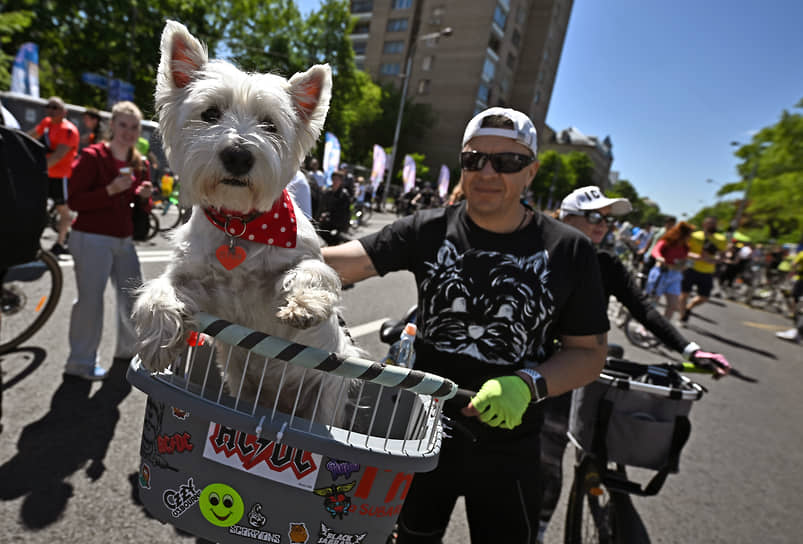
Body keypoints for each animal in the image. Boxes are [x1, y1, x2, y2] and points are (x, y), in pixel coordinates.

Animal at [133, 20, 360, 420]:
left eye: (269, 124)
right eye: (210, 114)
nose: (238, 156)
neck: (240, 225)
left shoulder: (297, 263)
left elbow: (312, 271)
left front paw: (304, 303)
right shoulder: (201, 288)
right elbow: (161, 289)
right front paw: (157, 339)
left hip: (325, 398)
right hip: (242, 385)